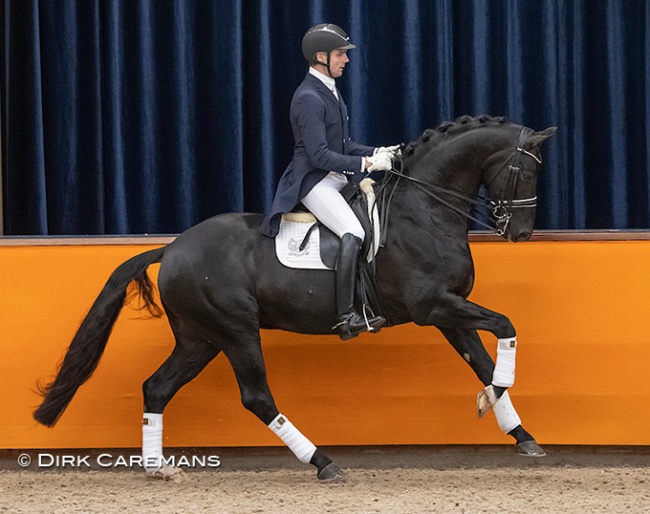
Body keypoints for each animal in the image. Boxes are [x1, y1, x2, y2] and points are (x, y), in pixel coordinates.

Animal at [33, 115, 556, 480]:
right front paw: (498, 405)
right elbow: (506, 326)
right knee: (256, 396)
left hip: (200, 338)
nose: (522, 233)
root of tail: (174, 246)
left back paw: (157, 468)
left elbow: (484, 363)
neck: (423, 210)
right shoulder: (433, 306)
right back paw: (324, 463)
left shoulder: (448, 311)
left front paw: (519, 432)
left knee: (156, 388)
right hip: (235, 331)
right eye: (525, 173)